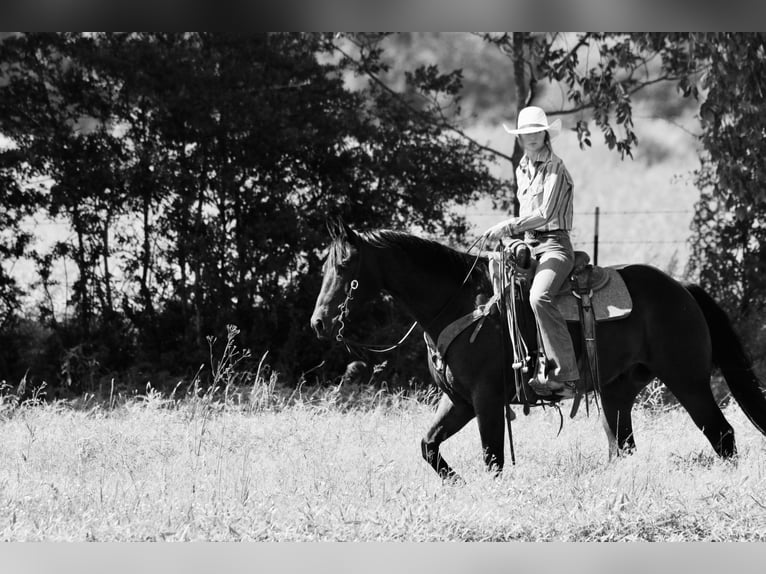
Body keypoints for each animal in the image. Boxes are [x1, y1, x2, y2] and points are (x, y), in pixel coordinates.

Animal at [308, 220, 766, 482]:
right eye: (324, 266)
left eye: (345, 267)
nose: (319, 323)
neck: (459, 303)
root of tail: (682, 289)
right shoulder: (458, 400)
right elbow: (428, 445)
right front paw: (455, 483)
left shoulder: (486, 400)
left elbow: (493, 459)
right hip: (617, 393)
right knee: (623, 447)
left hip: (688, 382)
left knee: (723, 436)